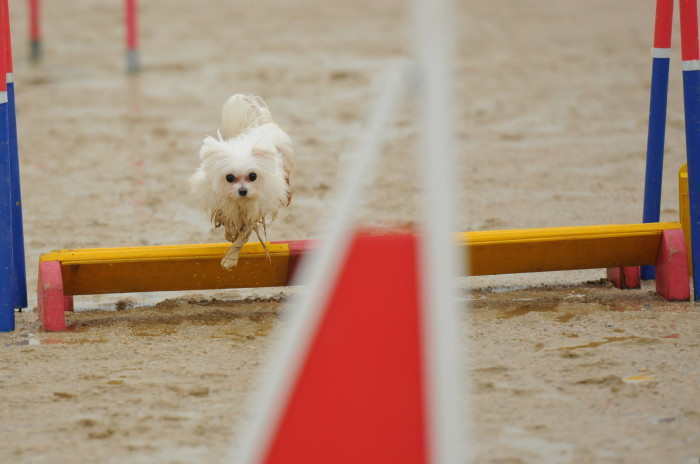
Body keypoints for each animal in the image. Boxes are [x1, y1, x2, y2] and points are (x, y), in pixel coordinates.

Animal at [189, 93, 292, 268]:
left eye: (253, 176)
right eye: (229, 178)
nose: (243, 191)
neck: (239, 202)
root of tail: (261, 122)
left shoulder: (254, 211)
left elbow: (243, 235)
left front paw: (231, 258)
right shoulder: (223, 204)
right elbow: (228, 222)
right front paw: (230, 234)